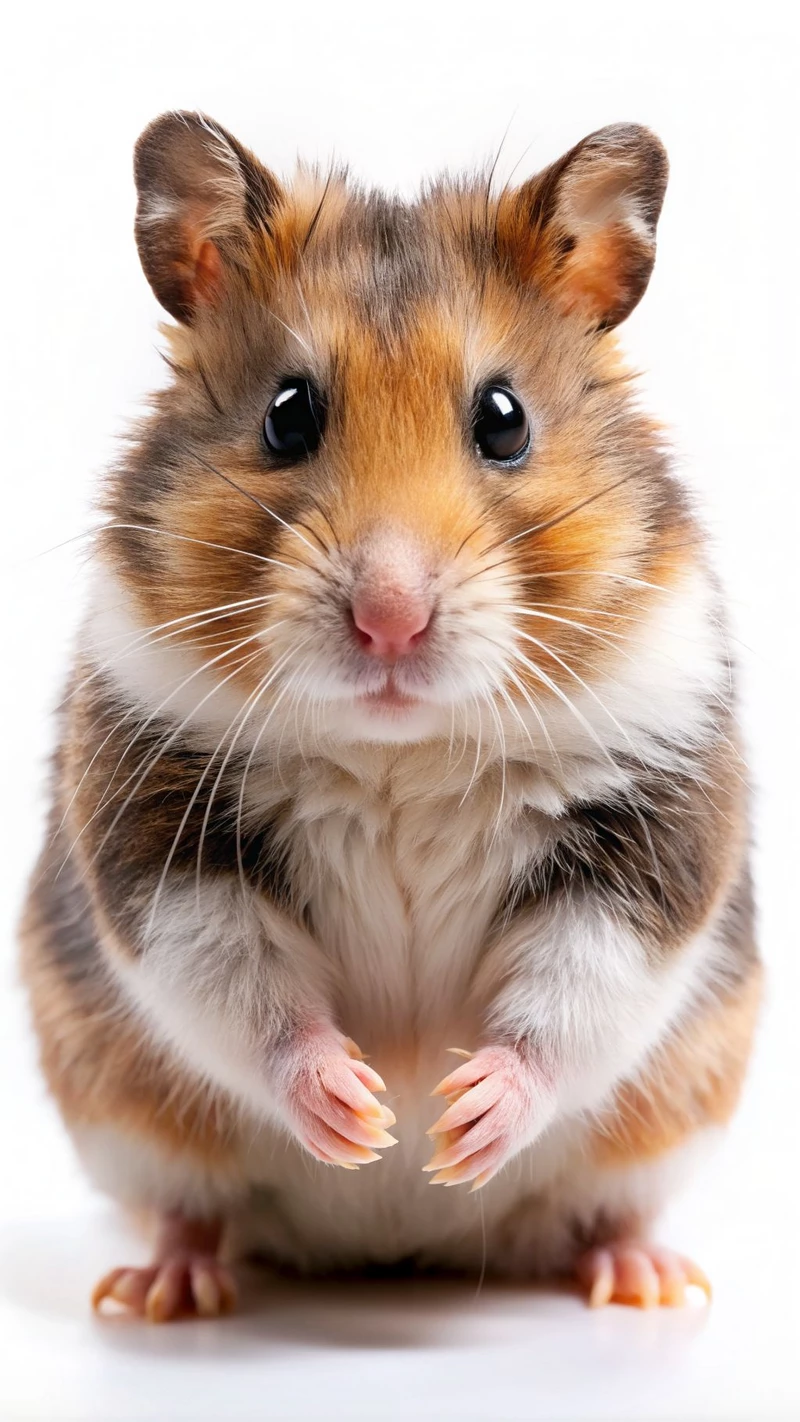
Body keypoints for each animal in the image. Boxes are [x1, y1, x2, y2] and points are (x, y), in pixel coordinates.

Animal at [20, 111, 760, 1321]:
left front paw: (456, 1123)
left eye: (504, 420)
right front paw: (363, 1113)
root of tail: (393, 1255)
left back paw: (645, 1279)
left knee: (607, 1205)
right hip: (118, 1111)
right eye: (288, 415)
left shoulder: (648, 839)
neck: (399, 750)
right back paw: (162, 1286)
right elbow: (245, 994)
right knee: (191, 1204)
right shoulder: (161, 833)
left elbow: (571, 1000)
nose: (390, 620)